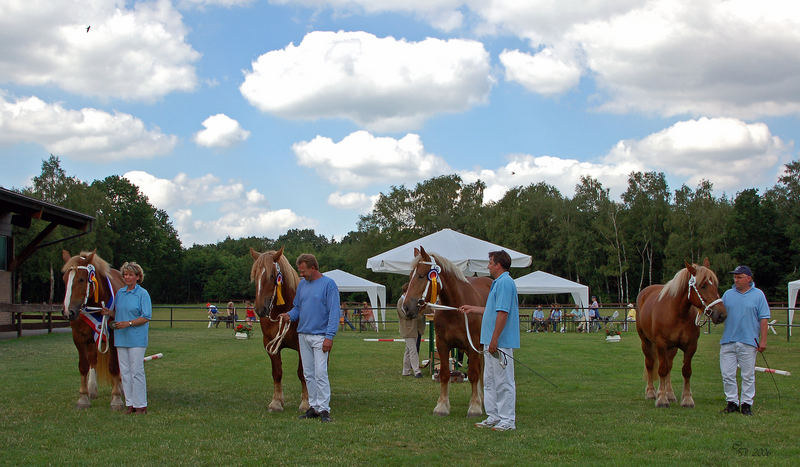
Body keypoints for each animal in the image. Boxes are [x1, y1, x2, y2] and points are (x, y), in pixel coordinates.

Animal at [61, 250, 124, 412]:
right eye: (64, 279)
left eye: (82, 279)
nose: (68, 312)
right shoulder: (79, 337)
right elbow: (83, 366)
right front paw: (83, 398)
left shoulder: (113, 336)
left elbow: (114, 366)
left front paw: (116, 399)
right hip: (91, 340)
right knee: (93, 360)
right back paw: (92, 389)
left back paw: (121, 388)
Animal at [248, 249, 308, 414]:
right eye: (254, 276)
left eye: (271, 276)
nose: (260, 309)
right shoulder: (270, 344)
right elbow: (277, 373)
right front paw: (276, 402)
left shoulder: (302, 345)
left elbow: (302, 373)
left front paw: (306, 403)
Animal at [398, 247, 490, 418]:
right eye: (410, 276)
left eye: (421, 275)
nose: (406, 307)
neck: (456, 308)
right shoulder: (442, 345)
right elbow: (445, 374)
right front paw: (442, 406)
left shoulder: (472, 346)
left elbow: (473, 374)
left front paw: (474, 407)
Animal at [636, 260, 728, 410]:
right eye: (703, 285)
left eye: (715, 284)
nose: (721, 314)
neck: (678, 313)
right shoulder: (661, 344)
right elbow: (661, 369)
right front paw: (661, 399)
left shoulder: (691, 346)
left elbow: (686, 371)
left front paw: (686, 399)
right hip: (646, 342)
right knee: (650, 364)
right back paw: (651, 392)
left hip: (672, 349)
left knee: (669, 366)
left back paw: (670, 394)